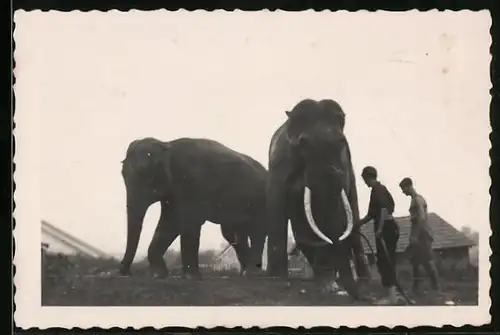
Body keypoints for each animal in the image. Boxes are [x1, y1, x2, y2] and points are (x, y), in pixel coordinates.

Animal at [119, 138, 268, 280]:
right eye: (122, 174)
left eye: (145, 174)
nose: (126, 272)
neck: (167, 145)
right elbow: (169, 223)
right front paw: (158, 275)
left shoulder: (193, 184)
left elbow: (189, 222)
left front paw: (191, 277)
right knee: (233, 234)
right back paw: (244, 273)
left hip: (261, 201)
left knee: (256, 231)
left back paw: (252, 273)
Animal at [266, 98, 372, 300]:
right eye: (304, 143)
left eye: (342, 143)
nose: (367, 299)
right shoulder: (278, 166)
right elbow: (278, 211)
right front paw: (278, 283)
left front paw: (328, 286)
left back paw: (361, 282)